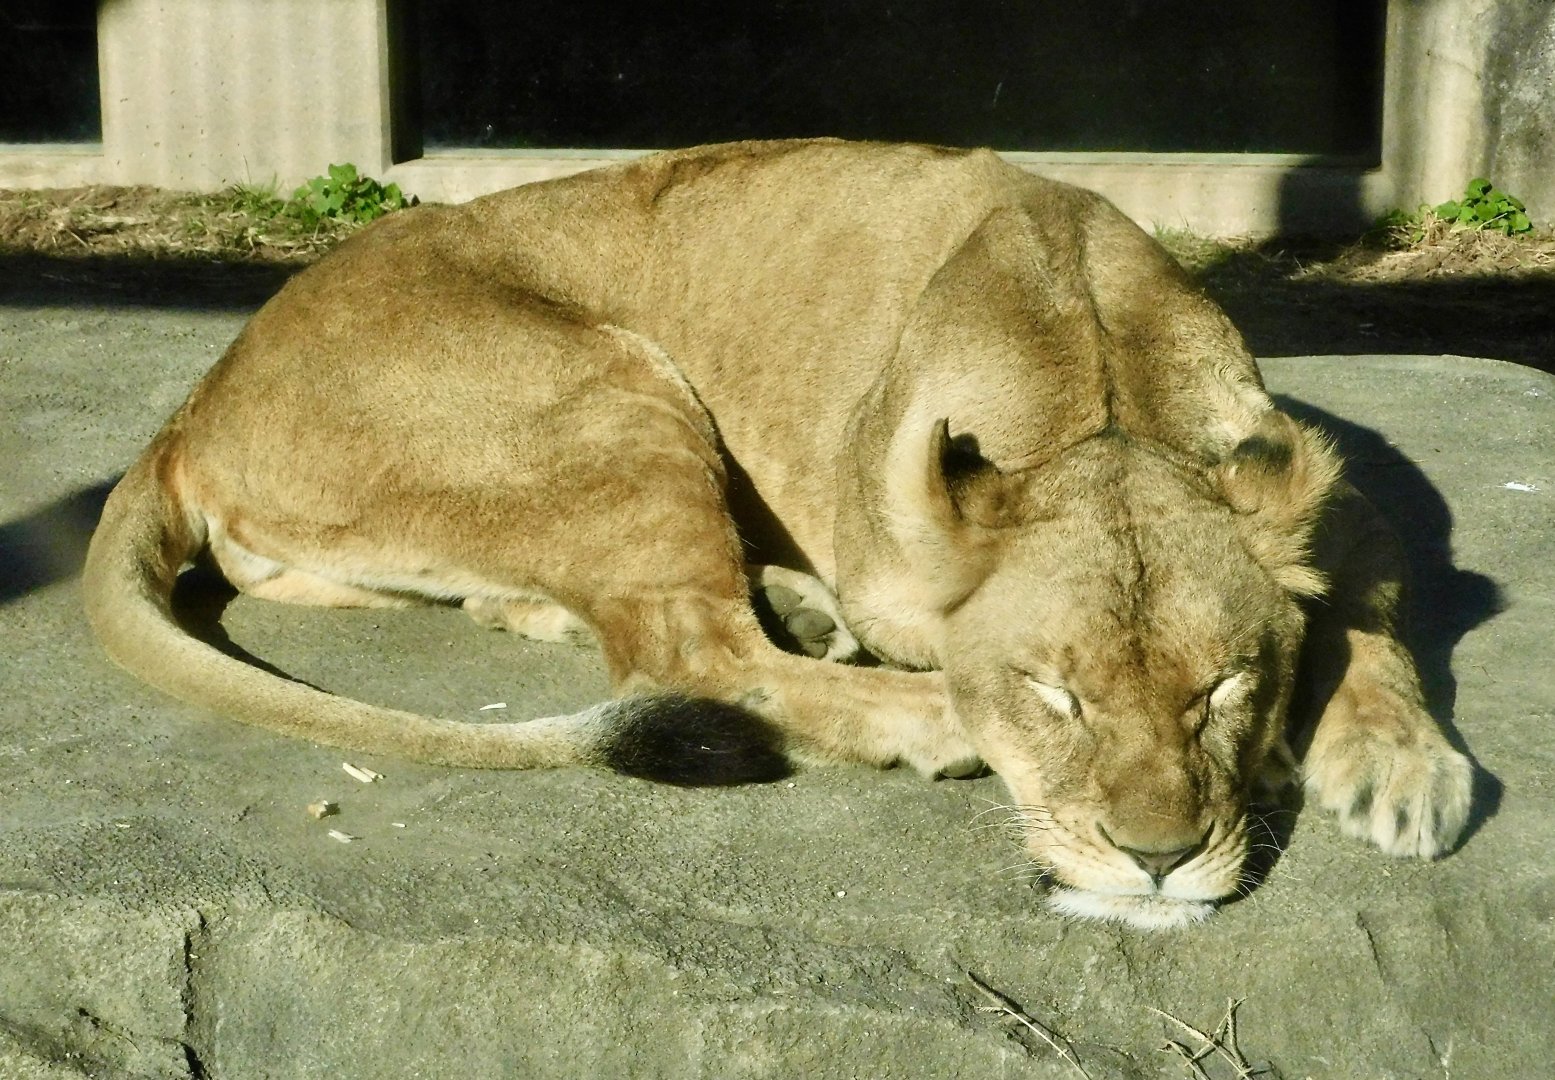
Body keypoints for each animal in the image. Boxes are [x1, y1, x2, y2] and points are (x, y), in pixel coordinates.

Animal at [83, 139, 1474, 929]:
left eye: (1225, 687)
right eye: (1052, 696)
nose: (1158, 861)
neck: (1100, 386)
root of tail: (193, 401)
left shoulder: (1333, 495)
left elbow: (1374, 623)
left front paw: (1401, 766)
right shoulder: (898, 573)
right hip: (610, 385)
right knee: (686, 652)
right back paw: (908, 710)